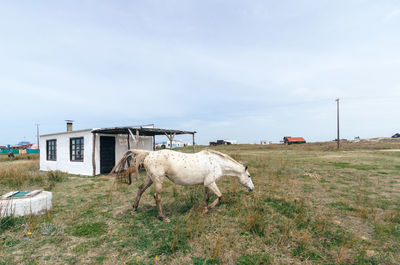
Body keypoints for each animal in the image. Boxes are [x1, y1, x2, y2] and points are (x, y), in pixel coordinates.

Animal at [110, 148, 253, 221]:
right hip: (158, 180)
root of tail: (150, 153)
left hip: (150, 178)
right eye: (249, 176)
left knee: (140, 189)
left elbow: (207, 198)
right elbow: (219, 196)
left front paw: (204, 209)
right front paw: (207, 209)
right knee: (157, 197)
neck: (217, 163)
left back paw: (134, 209)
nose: (252, 188)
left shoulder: (207, 184)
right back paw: (162, 217)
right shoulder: (211, 183)